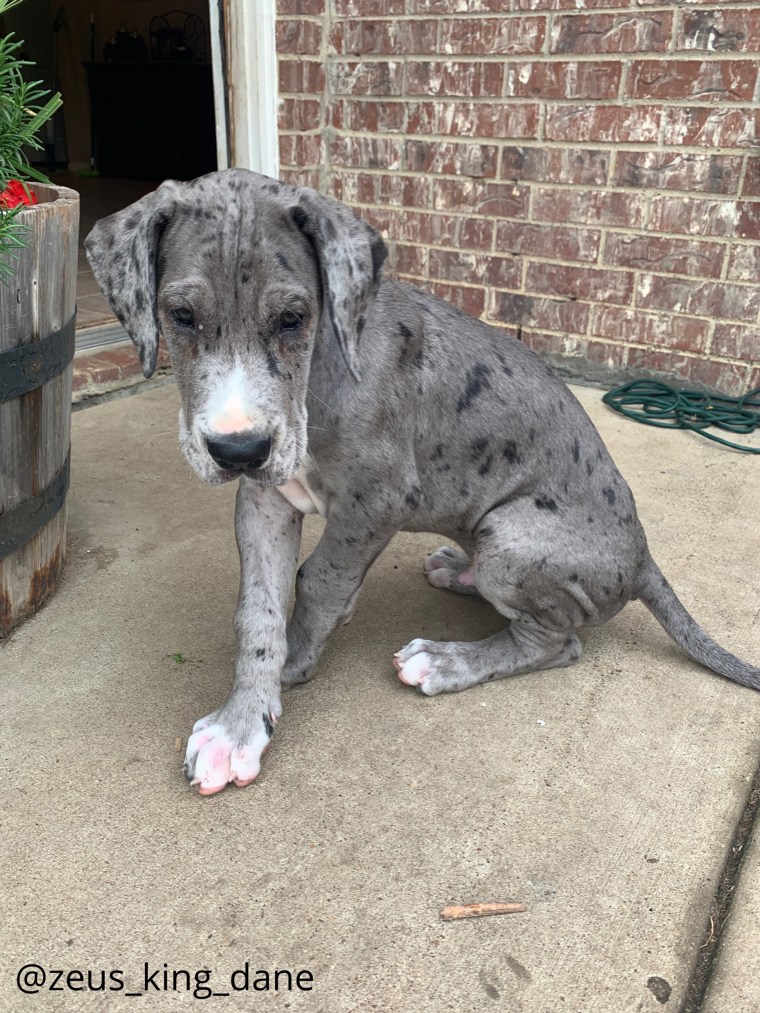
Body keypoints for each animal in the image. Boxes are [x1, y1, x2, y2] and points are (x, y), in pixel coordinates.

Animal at [83, 170, 760, 794]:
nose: (238, 449)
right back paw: (456, 572)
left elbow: (320, 580)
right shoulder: (266, 498)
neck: (322, 371)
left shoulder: (377, 501)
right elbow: (258, 610)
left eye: (293, 318)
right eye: (181, 316)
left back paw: (446, 660)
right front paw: (244, 719)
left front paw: (294, 664)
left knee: (556, 643)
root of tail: (643, 556)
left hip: (513, 537)